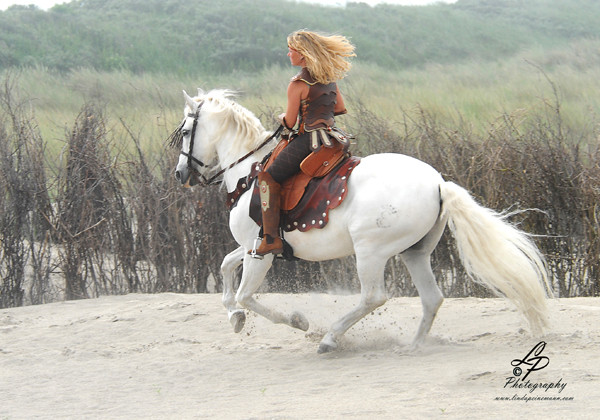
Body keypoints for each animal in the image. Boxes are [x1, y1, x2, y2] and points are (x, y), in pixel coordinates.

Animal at [171, 90, 552, 352]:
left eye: (187, 131)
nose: (179, 174)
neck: (248, 172)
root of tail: (437, 183)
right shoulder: (257, 246)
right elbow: (225, 267)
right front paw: (233, 316)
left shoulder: (260, 251)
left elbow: (247, 295)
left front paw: (297, 322)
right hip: (415, 252)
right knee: (431, 298)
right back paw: (413, 346)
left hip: (371, 252)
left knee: (373, 297)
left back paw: (329, 338)